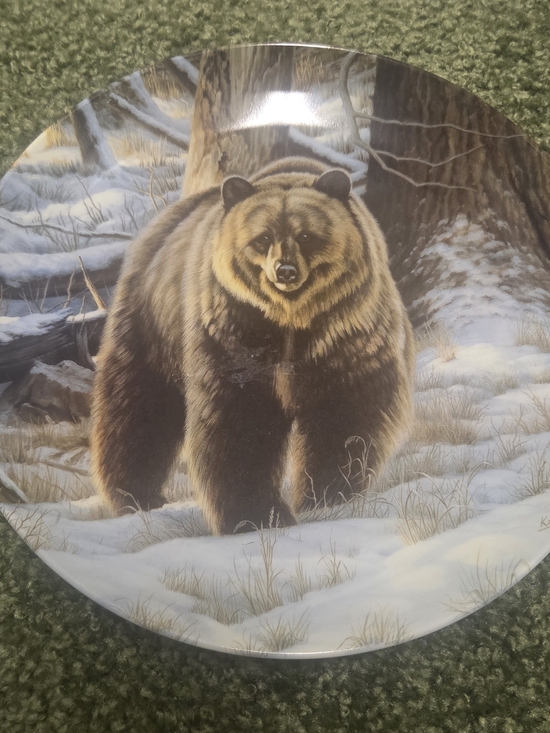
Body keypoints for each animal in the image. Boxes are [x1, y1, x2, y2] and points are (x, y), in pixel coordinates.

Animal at [90, 156, 415, 535]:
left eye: (306, 235)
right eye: (263, 238)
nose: (285, 270)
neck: (291, 320)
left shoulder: (344, 330)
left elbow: (346, 413)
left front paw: (328, 495)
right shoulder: (234, 331)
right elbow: (239, 418)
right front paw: (255, 514)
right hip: (153, 321)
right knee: (137, 404)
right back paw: (134, 495)